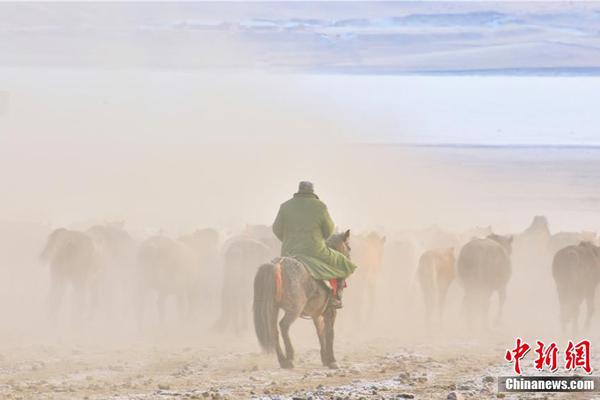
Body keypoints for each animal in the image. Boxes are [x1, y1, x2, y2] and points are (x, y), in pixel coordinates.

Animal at [251, 230, 350, 370]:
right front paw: (332, 361)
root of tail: (276, 265)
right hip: (294, 309)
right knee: (283, 325)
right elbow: (329, 333)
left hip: (272, 308)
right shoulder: (330, 312)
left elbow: (320, 333)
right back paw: (290, 356)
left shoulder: (316, 314)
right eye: (349, 248)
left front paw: (325, 358)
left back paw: (283, 360)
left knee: (274, 330)